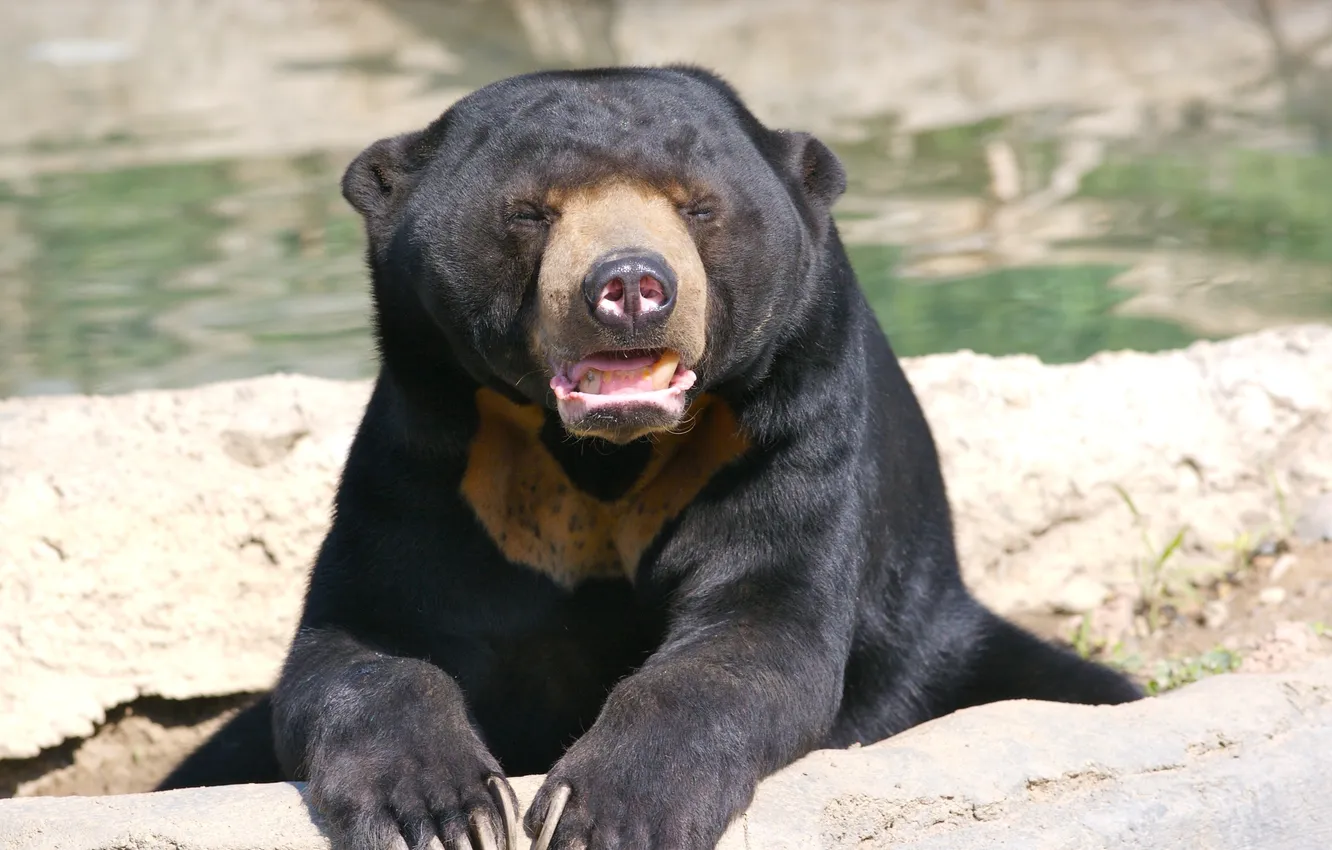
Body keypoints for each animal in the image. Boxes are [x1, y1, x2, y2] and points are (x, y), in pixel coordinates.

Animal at [161, 68, 1140, 850]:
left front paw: (604, 813)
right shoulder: (435, 457)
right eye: (530, 212)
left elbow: (753, 629)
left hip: (938, 641)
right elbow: (364, 639)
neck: (602, 454)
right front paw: (441, 813)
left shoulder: (785, 435)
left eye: (698, 206)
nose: (631, 286)